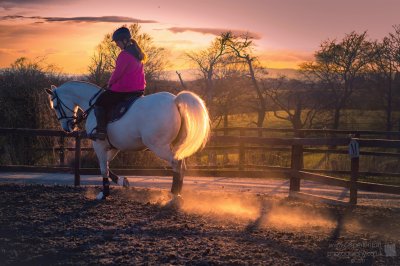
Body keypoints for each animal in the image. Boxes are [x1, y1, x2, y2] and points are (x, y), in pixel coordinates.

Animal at [45, 80, 211, 205]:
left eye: (55, 105)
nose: (67, 128)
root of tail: (174, 101)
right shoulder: (113, 147)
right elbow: (107, 166)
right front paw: (121, 181)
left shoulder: (99, 145)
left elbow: (103, 168)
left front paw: (104, 194)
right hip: (173, 145)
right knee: (181, 165)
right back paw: (177, 195)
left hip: (159, 146)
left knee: (176, 164)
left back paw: (174, 196)